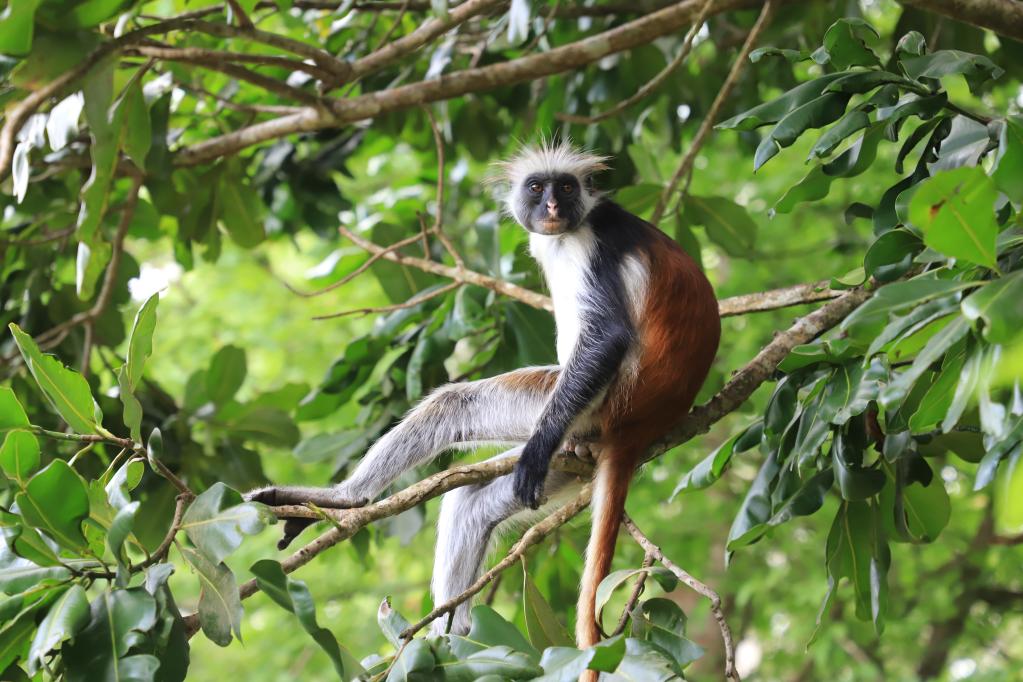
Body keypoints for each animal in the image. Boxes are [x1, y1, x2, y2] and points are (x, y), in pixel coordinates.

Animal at [249, 143, 720, 654]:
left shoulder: (593, 246)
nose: (551, 206)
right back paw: (447, 637)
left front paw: (537, 446)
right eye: (537, 187)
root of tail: (645, 421)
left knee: (456, 405)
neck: (571, 229)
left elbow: (608, 337)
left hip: (593, 405)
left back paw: (348, 500)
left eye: (566, 187)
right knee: (468, 501)